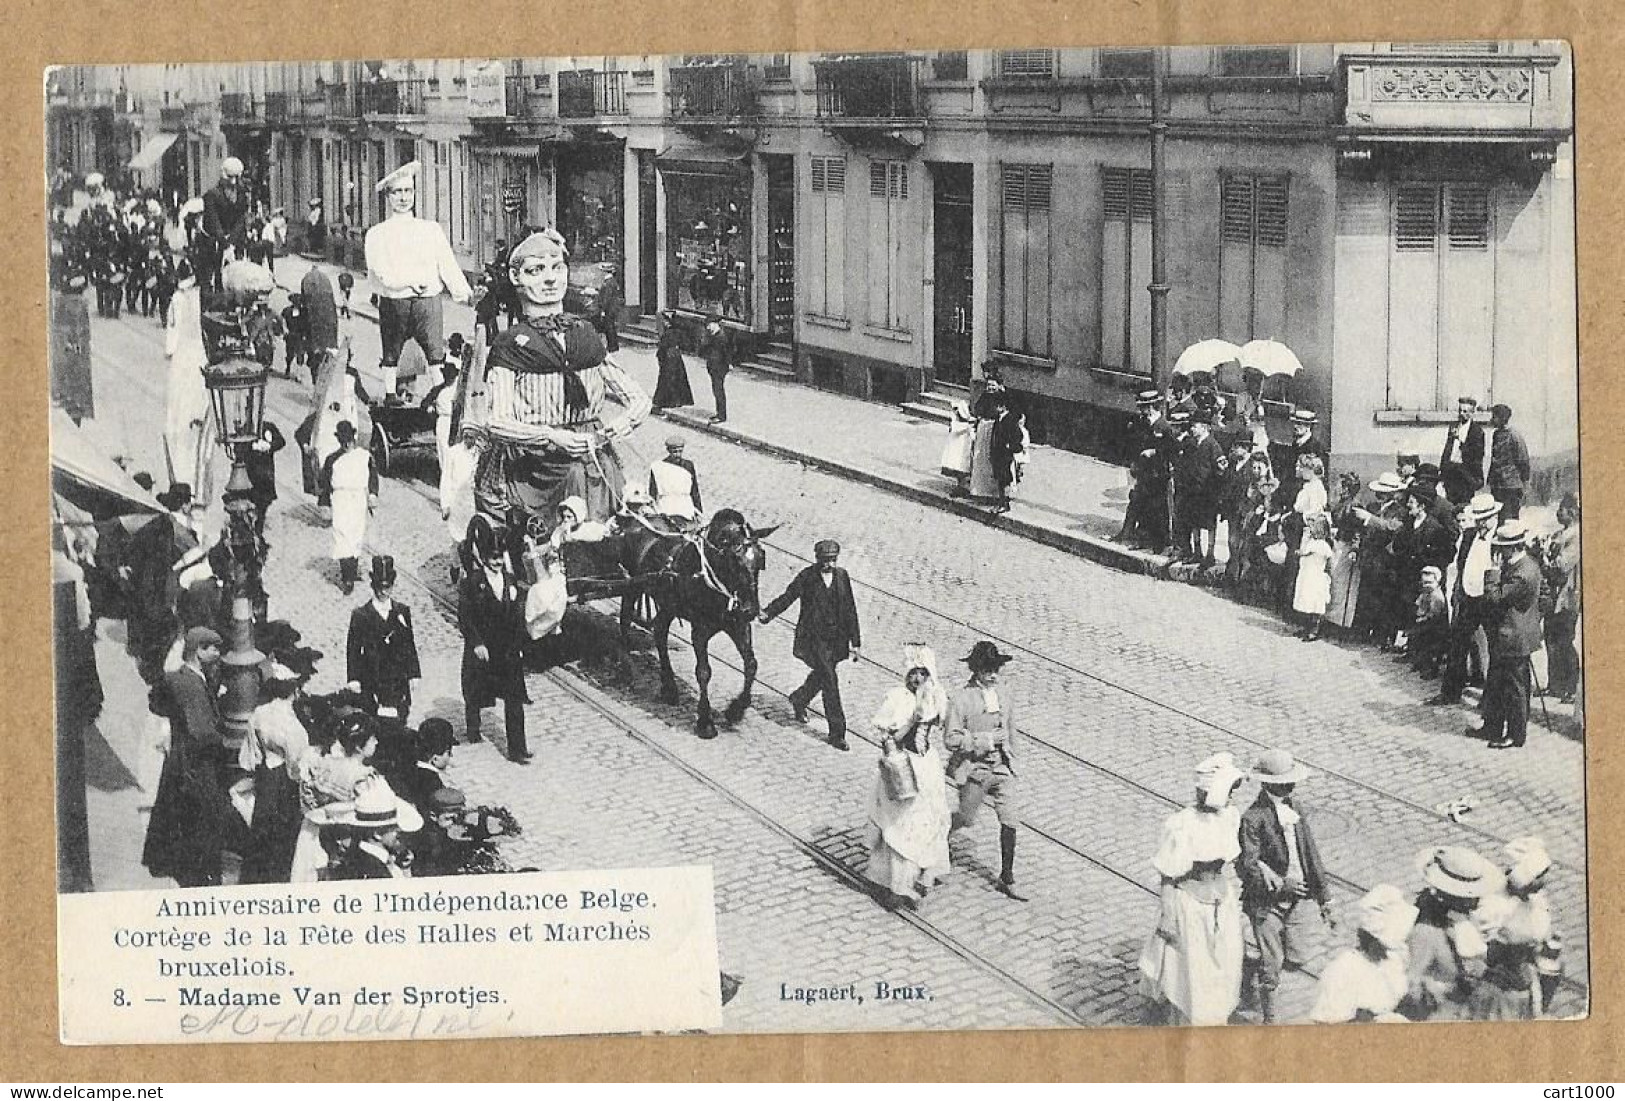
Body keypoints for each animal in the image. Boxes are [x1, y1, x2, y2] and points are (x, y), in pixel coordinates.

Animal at [617, 509, 776, 740]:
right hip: (631, 587)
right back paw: (627, 669)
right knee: (625, 620)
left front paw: (736, 710)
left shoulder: (739, 626)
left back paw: (669, 688)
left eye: (761, 559)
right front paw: (705, 722)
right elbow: (704, 671)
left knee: (660, 631)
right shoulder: (699, 630)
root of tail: (636, 520)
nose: (751, 609)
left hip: (668, 604)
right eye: (734, 560)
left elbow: (751, 664)